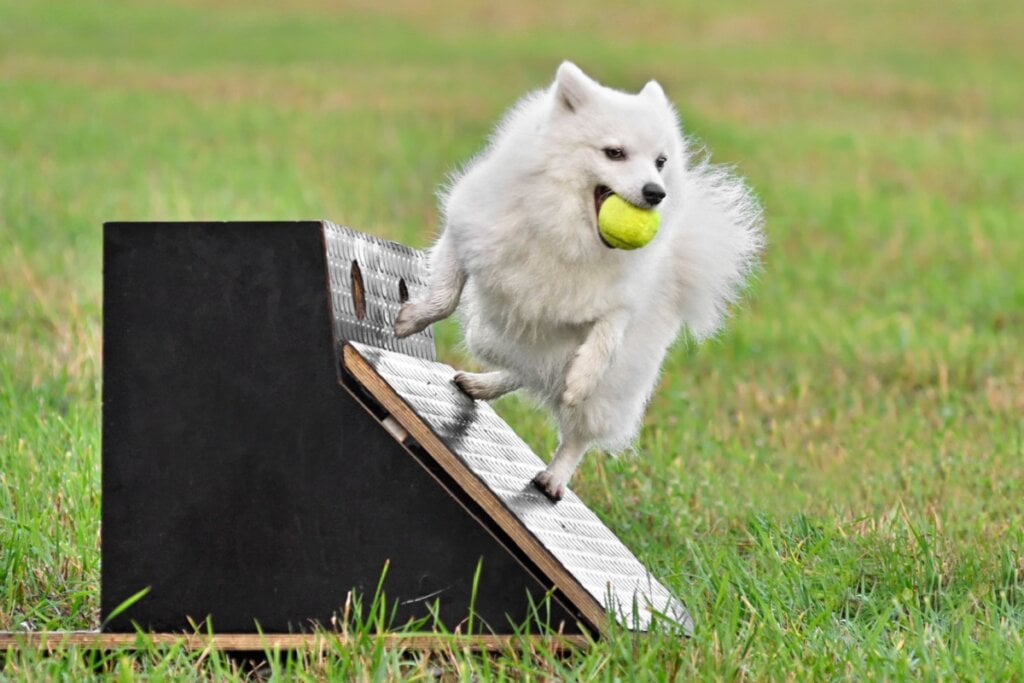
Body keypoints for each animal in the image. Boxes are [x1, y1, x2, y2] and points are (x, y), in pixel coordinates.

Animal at [395, 62, 765, 501]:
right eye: (614, 153)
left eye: (660, 161)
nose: (656, 192)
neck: (569, 230)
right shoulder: (466, 234)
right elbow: (445, 298)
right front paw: (411, 320)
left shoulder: (619, 302)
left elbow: (605, 337)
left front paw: (582, 376)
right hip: (491, 335)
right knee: (521, 364)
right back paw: (481, 385)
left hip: (614, 384)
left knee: (574, 424)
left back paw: (554, 475)